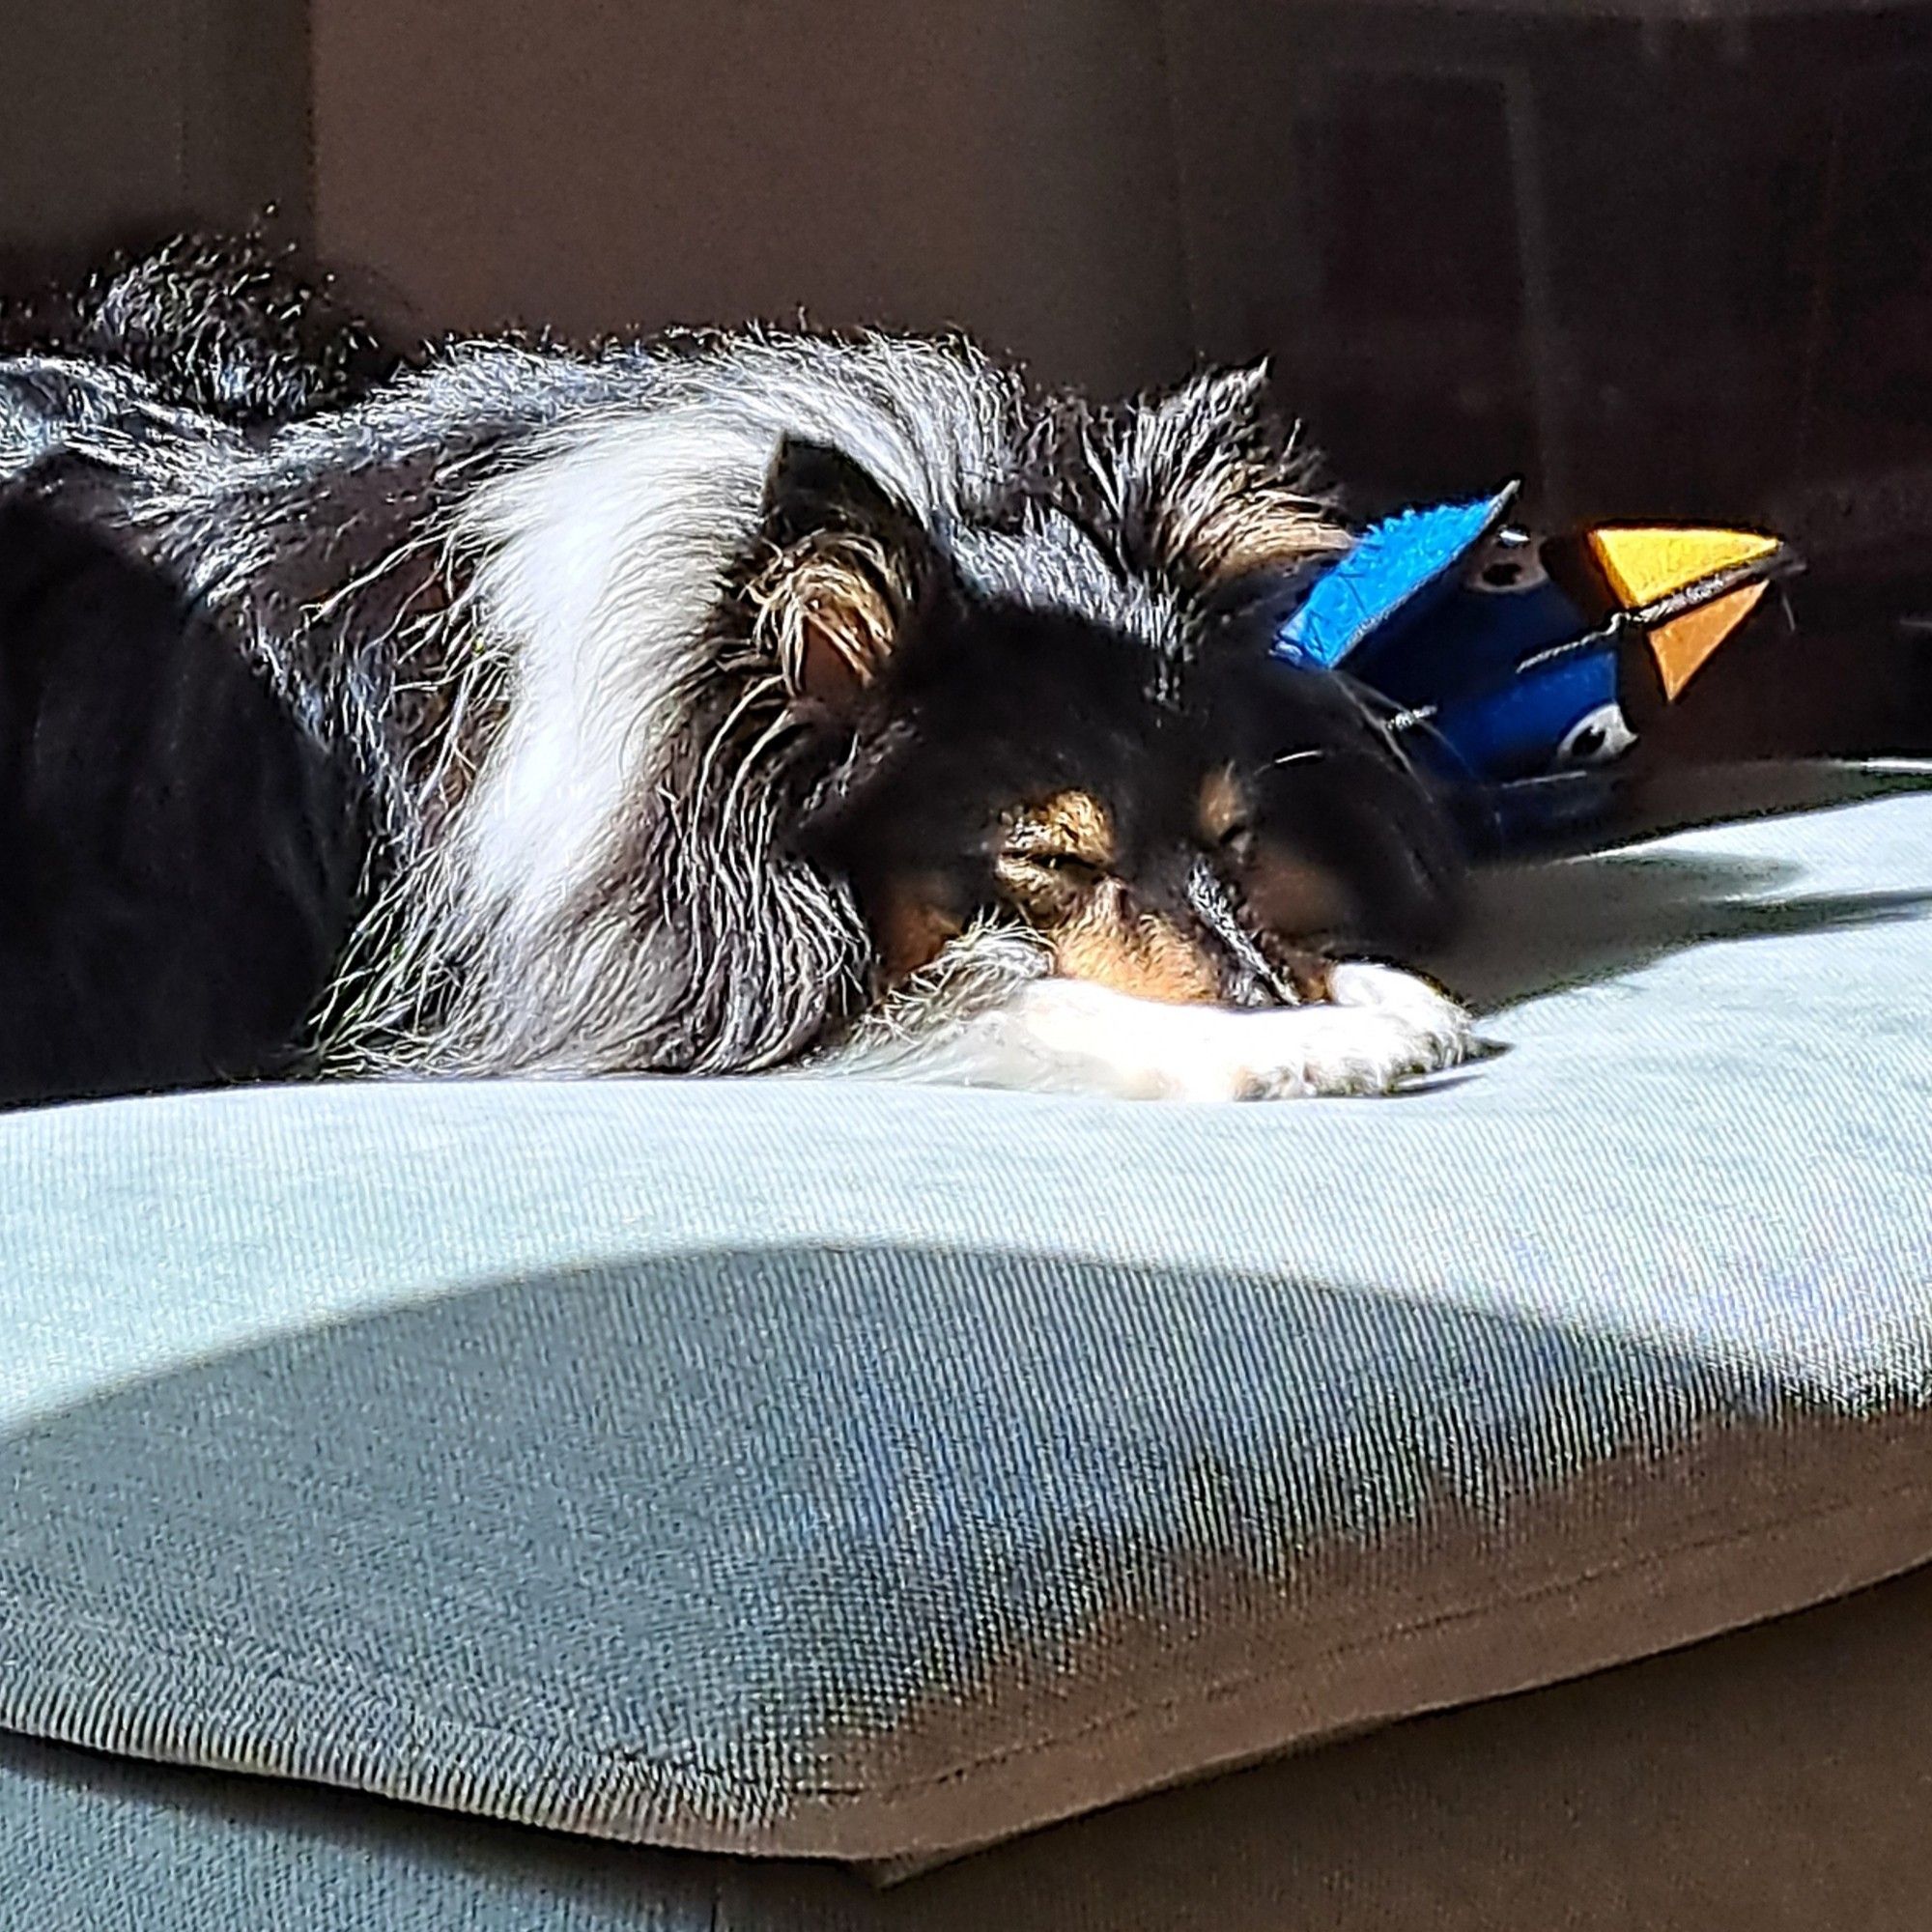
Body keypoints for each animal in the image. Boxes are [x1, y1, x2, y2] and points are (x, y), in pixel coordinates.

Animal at [0, 242, 1461, 1113]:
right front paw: (1308, 1037)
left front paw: (1353, 987)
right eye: (1048, 862)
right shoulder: (605, 993)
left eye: (1239, 831)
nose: (1267, 999)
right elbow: (986, 992)